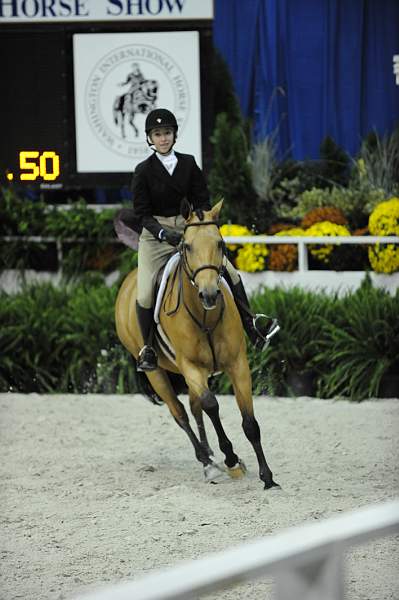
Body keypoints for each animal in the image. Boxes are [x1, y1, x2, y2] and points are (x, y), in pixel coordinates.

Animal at [114, 199, 280, 490]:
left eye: (220, 243)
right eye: (188, 246)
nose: (210, 294)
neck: (206, 316)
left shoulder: (238, 365)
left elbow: (249, 422)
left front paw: (268, 478)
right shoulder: (191, 367)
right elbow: (211, 406)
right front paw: (231, 459)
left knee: (193, 407)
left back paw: (210, 455)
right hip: (157, 372)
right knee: (180, 412)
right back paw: (207, 461)